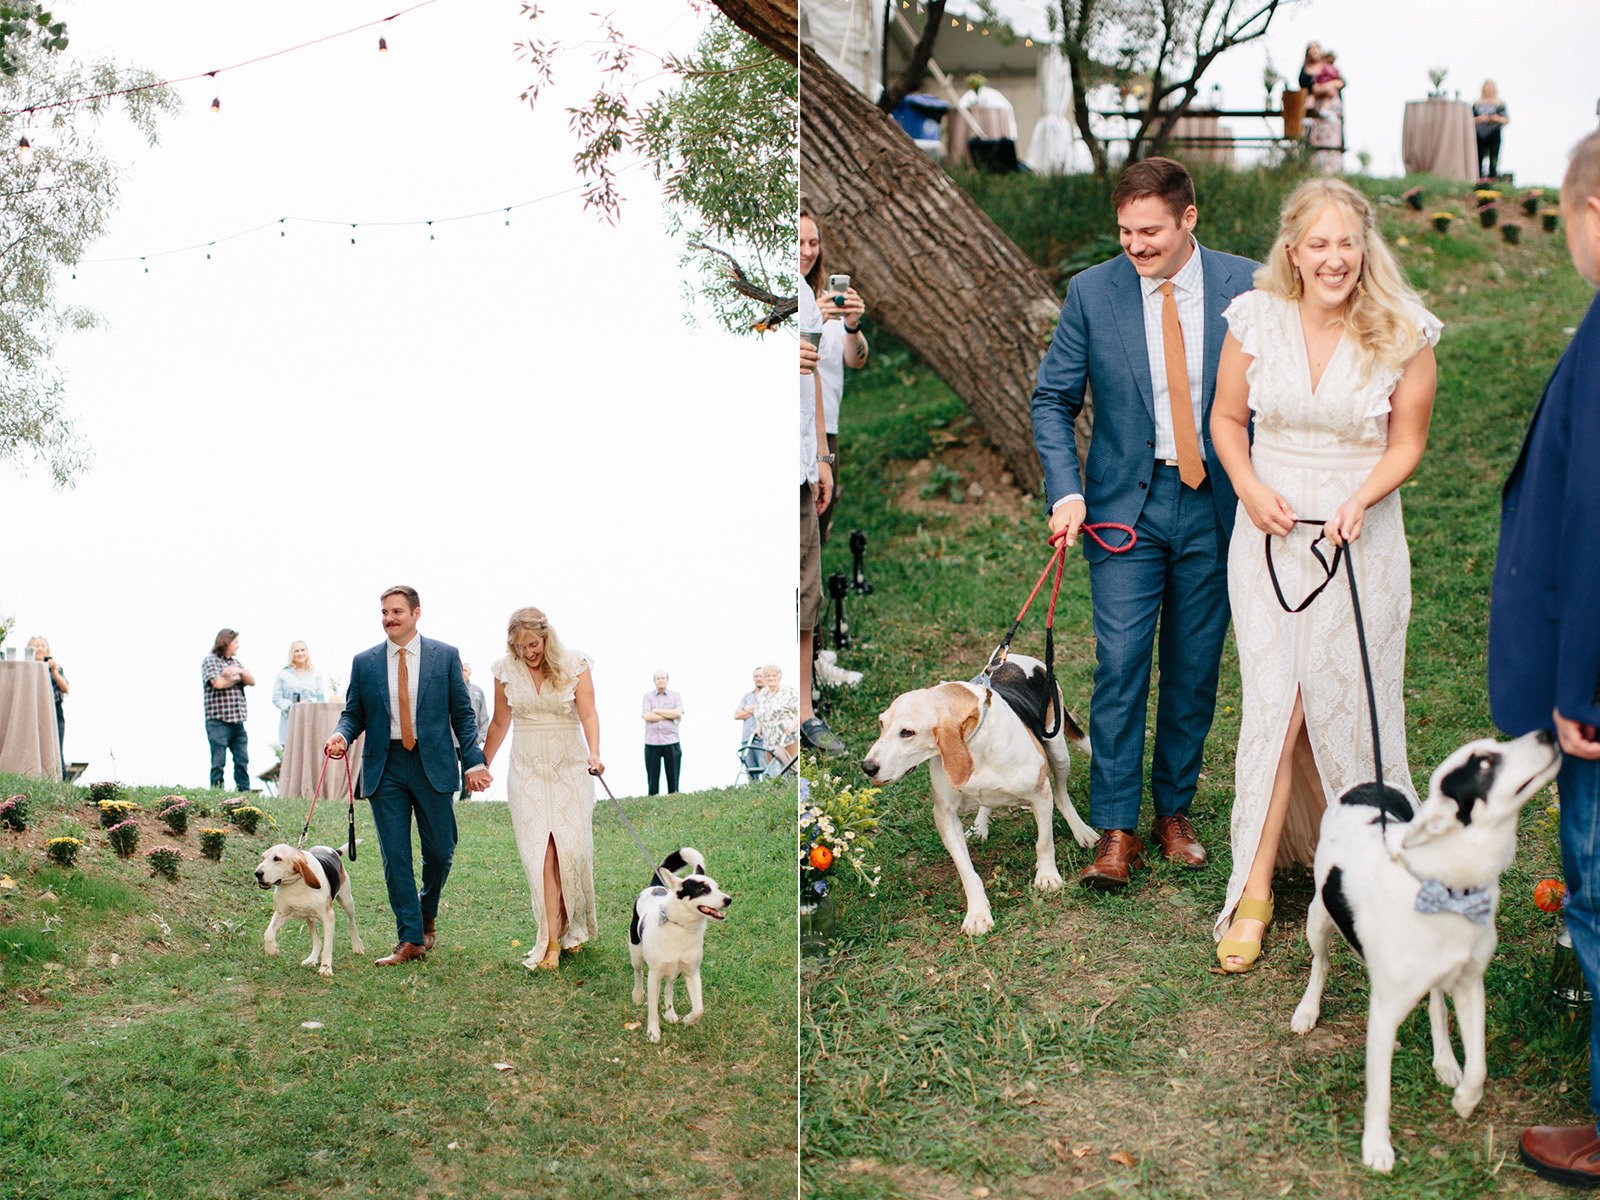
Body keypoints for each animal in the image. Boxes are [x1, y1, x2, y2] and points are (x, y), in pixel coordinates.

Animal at [254, 844, 364, 979]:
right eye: (263, 858)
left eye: (277, 859)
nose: (257, 873)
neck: (297, 882)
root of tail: (333, 850)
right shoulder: (281, 914)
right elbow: (268, 933)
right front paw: (272, 949)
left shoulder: (328, 917)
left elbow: (328, 947)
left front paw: (325, 968)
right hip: (309, 918)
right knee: (317, 941)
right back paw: (312, 959)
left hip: (347, 901)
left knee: (351, 922)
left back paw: (357, 945)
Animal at [627, 844, 732, 1043]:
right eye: (702, 890)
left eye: (717, 887)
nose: (728, 900)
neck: (682, 928)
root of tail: (655, 886)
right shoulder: (654, 975)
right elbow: (652, 1007)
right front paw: (653, 1031)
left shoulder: (692, 972)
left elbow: (699, 1008)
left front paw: (689, 1020)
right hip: (635, 950)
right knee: (638, 972)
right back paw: (637, 995)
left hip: (675, 970)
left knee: (669, 987)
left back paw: (670, 1012)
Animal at [864, 659, 1100, 940]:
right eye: (881, 724)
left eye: (907, 732)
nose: (867, 767)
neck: (975, 742)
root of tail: (1021, 659)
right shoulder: (944, 814)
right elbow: (967, 871)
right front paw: (977, 913)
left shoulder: (1040, 793)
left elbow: (1044, 842)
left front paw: (1047, 876)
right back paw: (980, 826)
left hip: (1058, 750)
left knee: (1062, 795)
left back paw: (1081, 831)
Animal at [1286, 732, 1561, 1177]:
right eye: (1483, 763)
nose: (1548, 733)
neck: (1446, 884)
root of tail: (1368, 783)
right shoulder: (1385, 1009)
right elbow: (1379, 1090)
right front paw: (1377, 1146)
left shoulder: (1469, 984)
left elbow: (1478, 1064)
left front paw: (1465, 1098)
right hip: (1318, 919)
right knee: (1320, 963)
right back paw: (1308, 1009)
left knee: (1434, 1002)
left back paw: (1445, 1060)